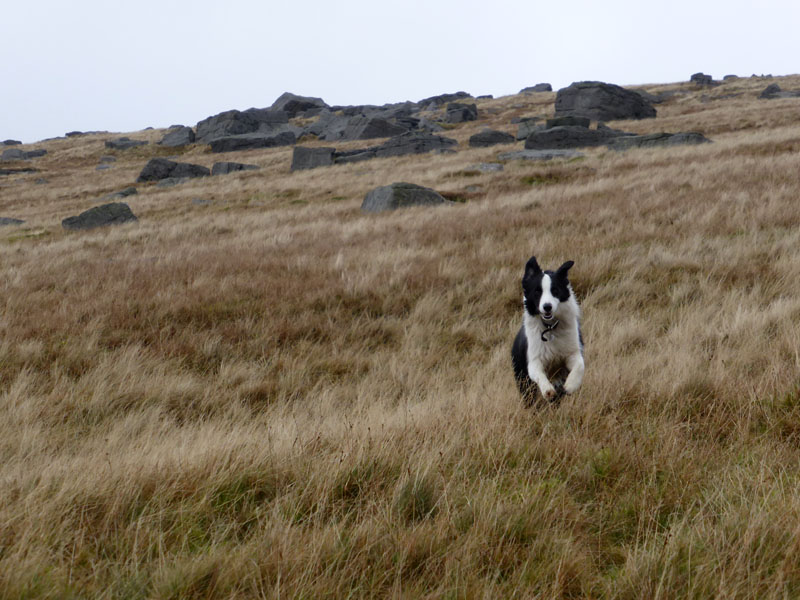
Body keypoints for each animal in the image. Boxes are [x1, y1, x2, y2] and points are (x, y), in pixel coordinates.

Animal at [510, 255, 584, 406]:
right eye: (537, 292)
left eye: (555, 290)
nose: (547, 307)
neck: (550, 328)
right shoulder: (534, 359)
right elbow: (539, 374)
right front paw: (548, 390)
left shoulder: (572, 351)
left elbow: (580, 365)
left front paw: (570, 385)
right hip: (522, 379)